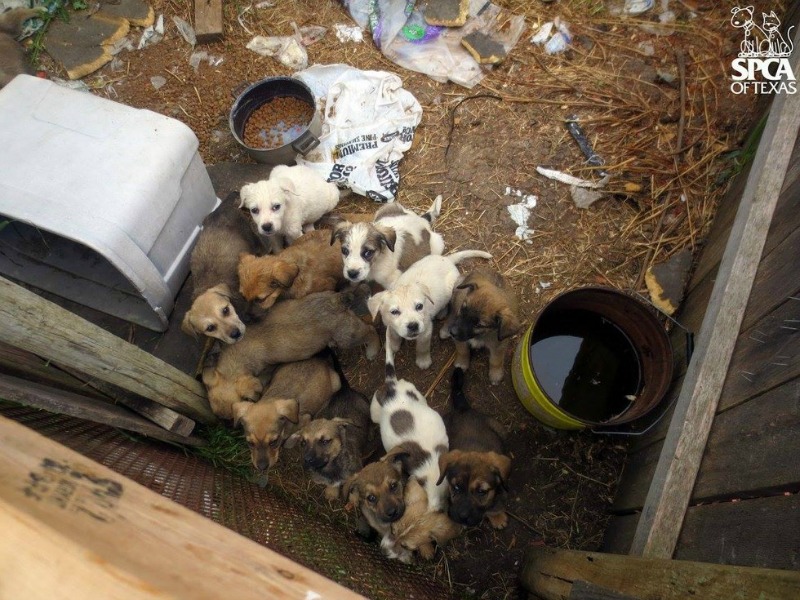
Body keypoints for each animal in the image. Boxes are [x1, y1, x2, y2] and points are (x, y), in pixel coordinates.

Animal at [284, 350, 378, 500]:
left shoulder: (355, 476)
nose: (307, 460)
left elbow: (354, 491)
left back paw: (370, 433)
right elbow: (332, 486)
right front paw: (331, 493)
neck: (331, 469)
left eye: (325, 441)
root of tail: (344, 389)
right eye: (303, 443)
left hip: (366, 405)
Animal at [438, 366, 512, 528]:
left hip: (500, 429)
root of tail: (463, 408)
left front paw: (497, 517)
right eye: (456, 487)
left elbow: (495, 506)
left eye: (481, 492)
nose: (462, 517)